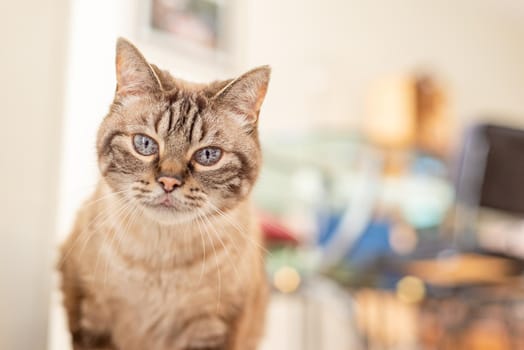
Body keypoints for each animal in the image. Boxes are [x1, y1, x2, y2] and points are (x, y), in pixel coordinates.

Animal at [58, 38, 270, 350]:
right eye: (145, 144)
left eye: (208, 155)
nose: (169, 181)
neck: (160, 262)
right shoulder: (92, 319)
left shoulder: (212, 331)